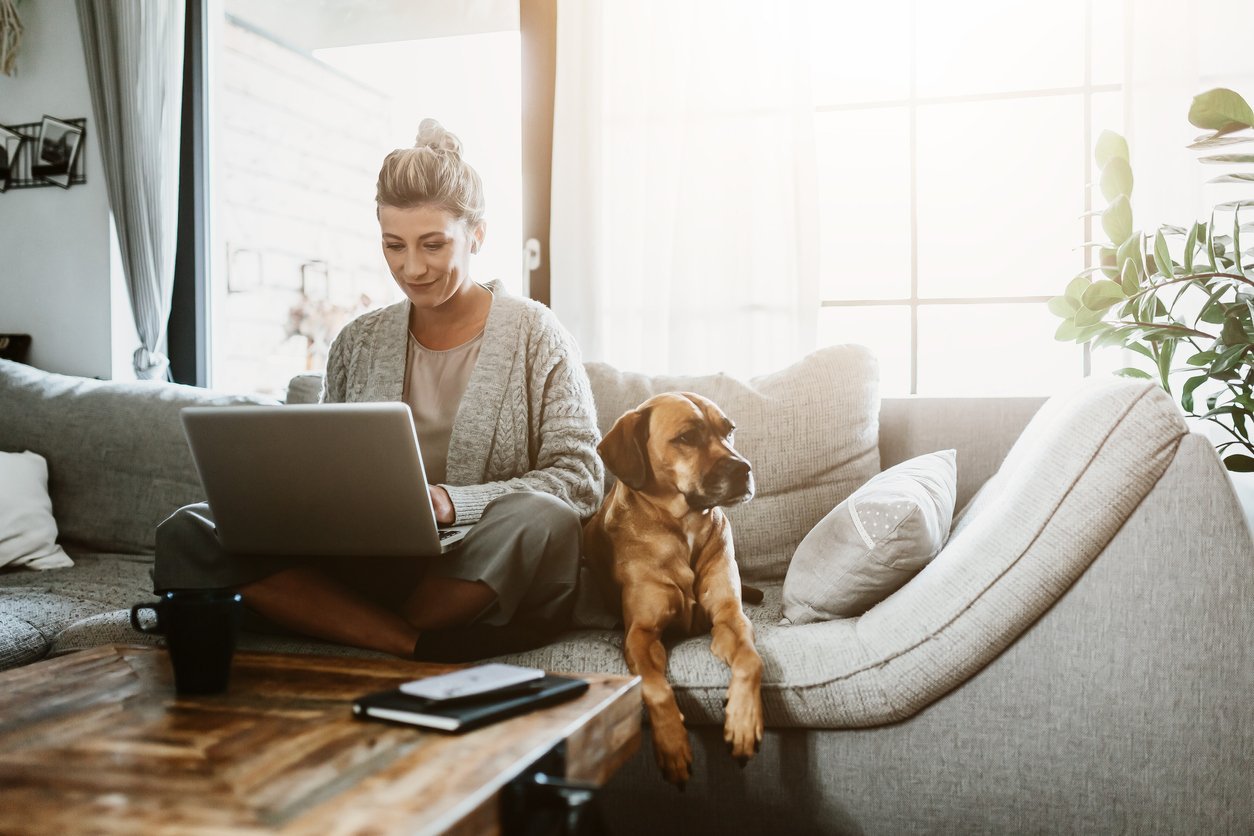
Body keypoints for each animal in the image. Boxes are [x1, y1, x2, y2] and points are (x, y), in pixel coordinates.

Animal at [584, 393, 762, 787]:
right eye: (686, 438)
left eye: (729, 430)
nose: (744, 469)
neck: (684, 527)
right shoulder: (641, 634)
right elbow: (655, 687)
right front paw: (672, 745)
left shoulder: (730, 617)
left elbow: (751, 661)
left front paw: (743, 721)